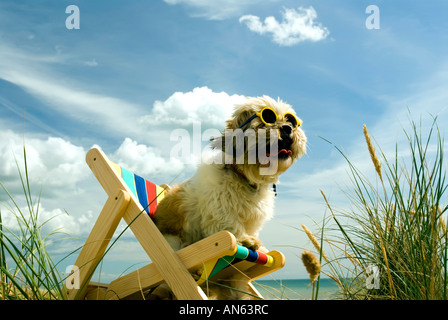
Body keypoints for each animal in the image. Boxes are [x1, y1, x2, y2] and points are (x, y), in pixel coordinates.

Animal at [155, 95, 308, 300]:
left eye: (290, 120)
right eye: (267, 119)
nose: (287, 128)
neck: (245, 178)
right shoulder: (220, 210)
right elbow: (230, 226)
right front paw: (245, 241)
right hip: (174, 245)